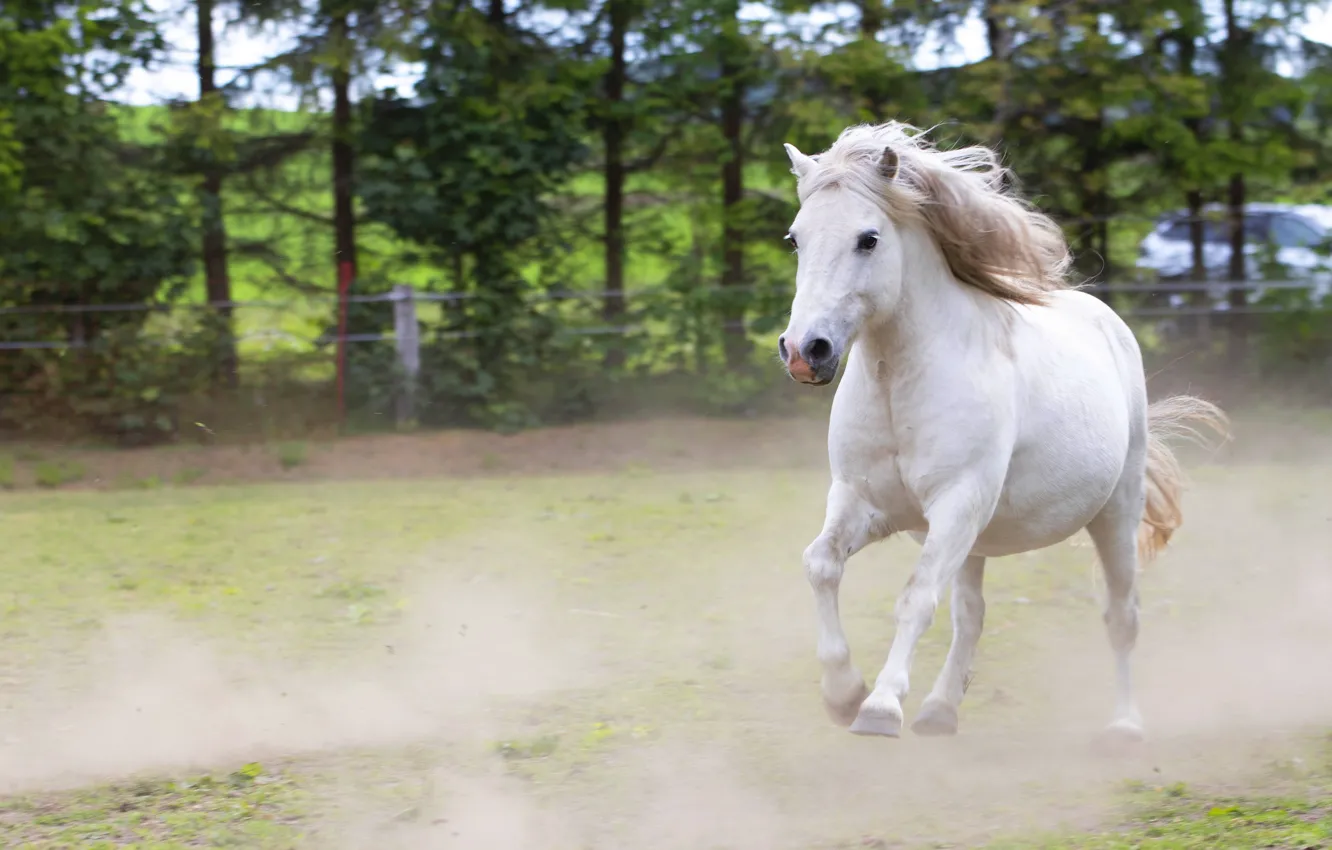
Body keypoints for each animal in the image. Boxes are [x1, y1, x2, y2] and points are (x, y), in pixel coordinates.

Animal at [777, 121, 1225, 746]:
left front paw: (880, 707)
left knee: (1121, 615)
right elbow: (821, 565)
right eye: (795, 239)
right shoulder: (866, 502)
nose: (805, 351)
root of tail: (1106, 322)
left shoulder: (956, 501)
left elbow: (916, 598)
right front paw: (843, 693)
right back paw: (939, 711)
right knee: (971, 615)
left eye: (868, 239)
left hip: (1114, 510)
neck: (901, 385)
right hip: (975, 539)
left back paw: (1125, 726)